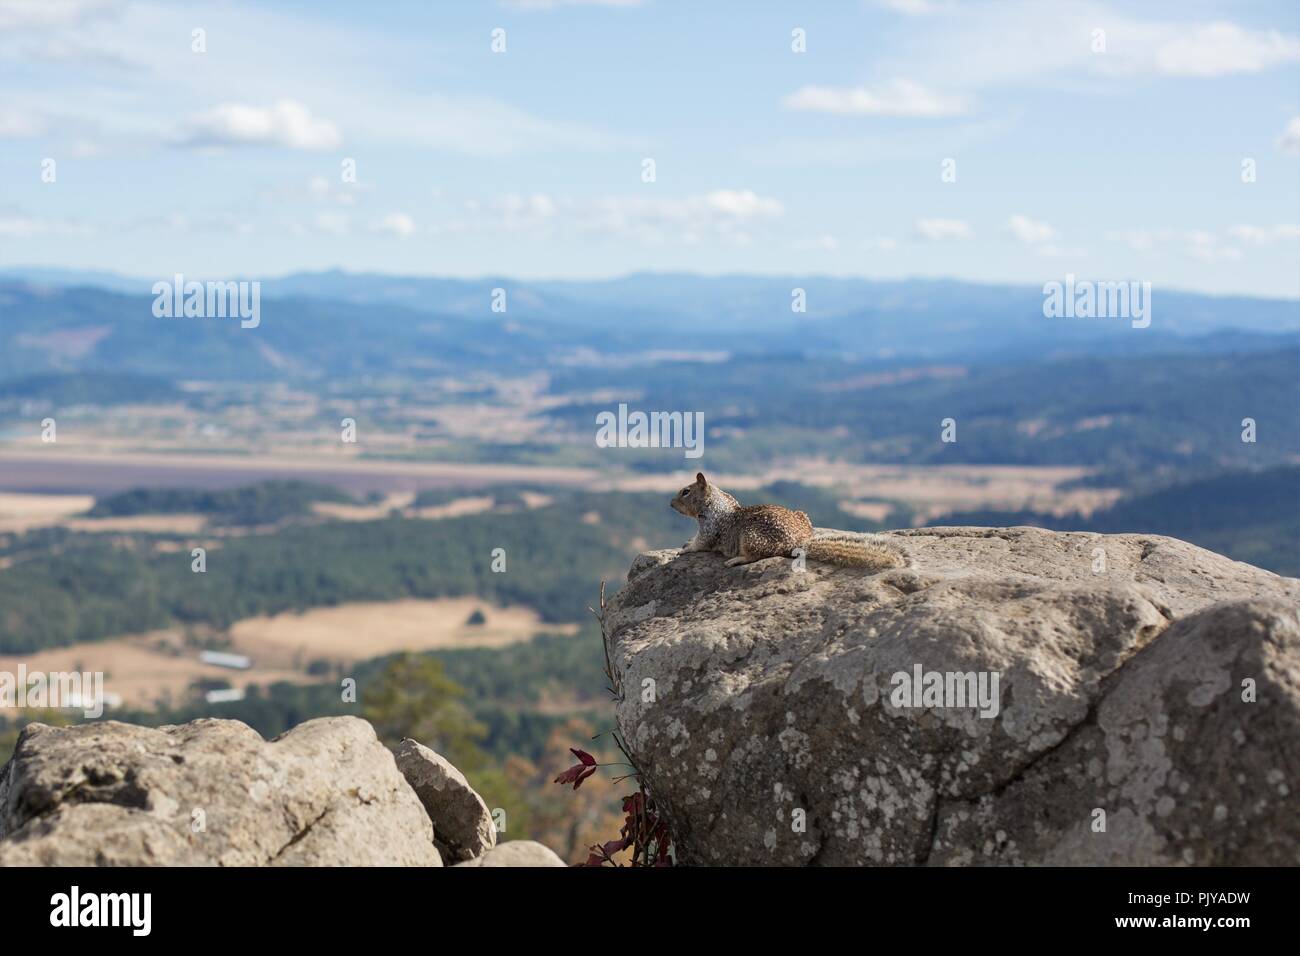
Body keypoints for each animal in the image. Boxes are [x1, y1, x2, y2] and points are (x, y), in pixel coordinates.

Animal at [670, 472, 905, 572]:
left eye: (685, 491)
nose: (670, 504)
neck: (716, 500)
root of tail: (798, 542)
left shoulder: (710, 527)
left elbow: (701, 543)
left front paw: (685, 548)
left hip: (750, 535)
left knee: (756, 555)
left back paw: (735, 560)